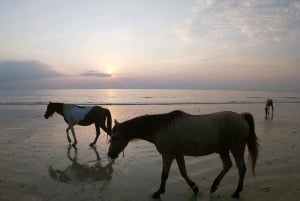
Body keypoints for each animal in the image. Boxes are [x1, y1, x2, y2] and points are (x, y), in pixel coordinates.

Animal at [108, 110, 260, 199]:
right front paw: (194, 188)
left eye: (114, 137)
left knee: (241, 168)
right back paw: (214, 186)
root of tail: (241, 117)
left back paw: (236, 191)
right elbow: (179, 172)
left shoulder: (168, 155)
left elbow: (167, 174)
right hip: (223, 149)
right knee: (227, 165)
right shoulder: (176, 154)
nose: (110, 154)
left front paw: (158, 192)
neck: (162, 127)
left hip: (236, 148)